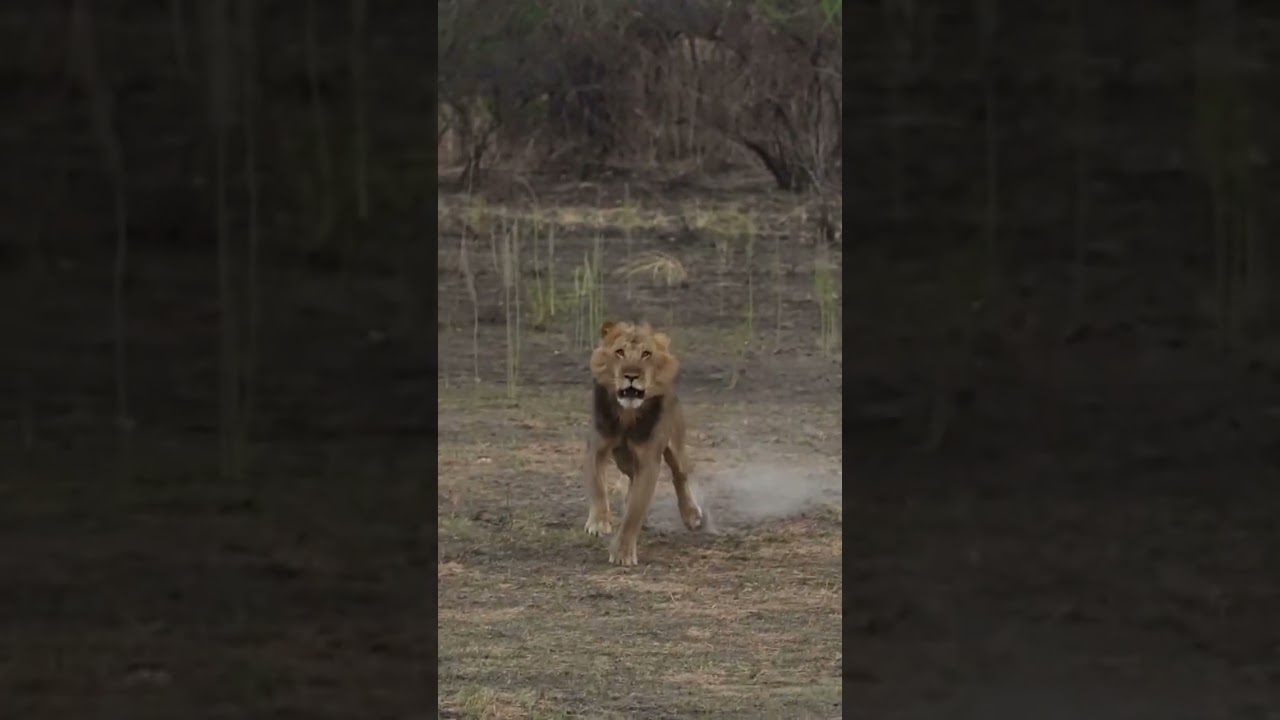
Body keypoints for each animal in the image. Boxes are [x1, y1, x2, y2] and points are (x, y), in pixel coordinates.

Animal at [583, 320, 704, 566]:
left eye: (646, 354)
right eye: (619, 352)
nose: (631, 375)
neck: (627, 416)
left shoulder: (649, 463)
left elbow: (634, 513)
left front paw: (623, 552)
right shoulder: (597, 447)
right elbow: (598, 486)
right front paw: (599, 523)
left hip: (676, 445)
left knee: (680, 476)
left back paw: (691, 514)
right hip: (623, 459)